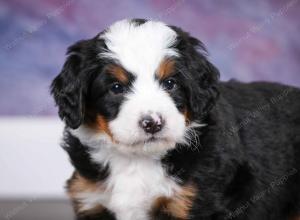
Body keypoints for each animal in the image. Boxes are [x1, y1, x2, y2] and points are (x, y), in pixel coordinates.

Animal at [51, 18, 300, 220]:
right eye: (116, 88)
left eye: (170, 83)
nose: (153, 123)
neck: (136, 160)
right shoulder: (92, 199)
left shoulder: (195, 203)